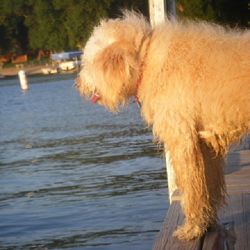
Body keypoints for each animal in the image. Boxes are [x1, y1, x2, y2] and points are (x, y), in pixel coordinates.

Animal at [76, 11, 250, 240]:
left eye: (87, 63)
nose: (77, 85)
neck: (145, 61)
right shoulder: (203, 143)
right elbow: (207, 185)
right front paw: (208, 222)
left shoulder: (182, 139)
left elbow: (191, 188)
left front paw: (192, 228)